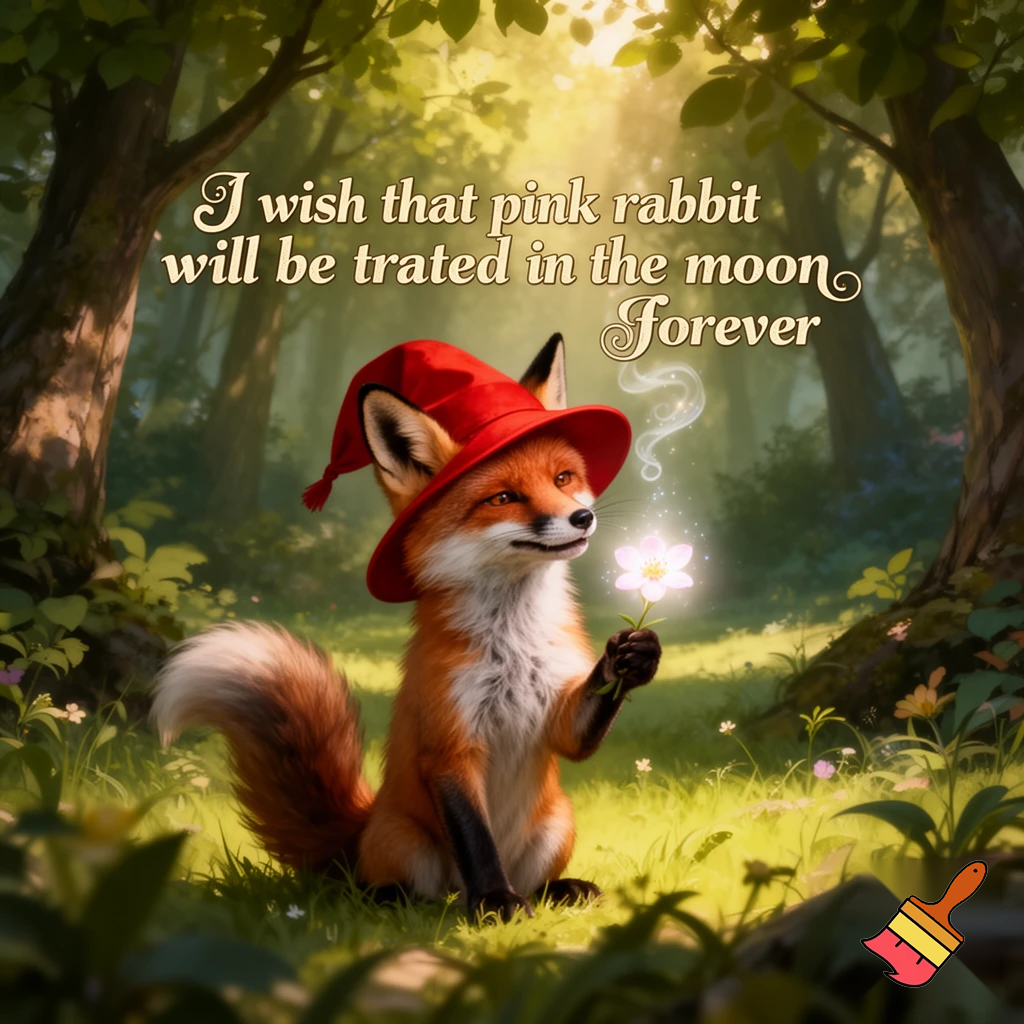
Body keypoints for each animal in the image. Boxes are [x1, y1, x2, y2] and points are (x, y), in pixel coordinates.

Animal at [152, 335, 662, 922]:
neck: (513, 645)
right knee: (394, 891)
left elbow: (579, 732)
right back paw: (413, 899)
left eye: (563, 479)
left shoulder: (556, 711)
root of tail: (362, 830)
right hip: (407, 842)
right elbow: (476, 840)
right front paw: (495, 903)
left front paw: (635, 655)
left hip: (557, 823)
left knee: (531, 881)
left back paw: (559, 890)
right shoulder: (448, 744)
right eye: (503, 498)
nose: (581, 518)